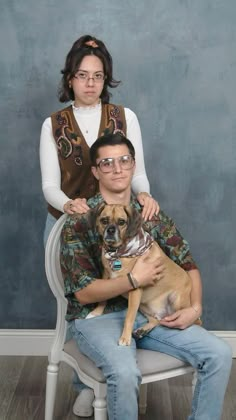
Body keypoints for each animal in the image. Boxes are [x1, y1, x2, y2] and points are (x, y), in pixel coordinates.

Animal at [90, 203, 199, 344]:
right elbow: (102, 299)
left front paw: (125, 338)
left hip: (176, 301)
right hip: (143, 305)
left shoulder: (135, 290)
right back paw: (142, 330)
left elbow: (129, 317)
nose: (110, 230)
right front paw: (96, 312)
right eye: (104, 220)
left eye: (121, 222)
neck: (117, 252)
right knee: (157, 320)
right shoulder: (106, 276)